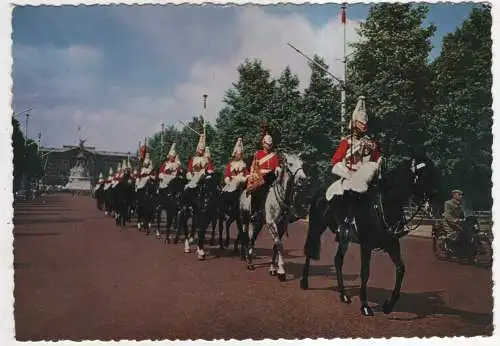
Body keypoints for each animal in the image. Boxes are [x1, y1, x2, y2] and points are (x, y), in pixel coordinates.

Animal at [239, 153, 308, 282]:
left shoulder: (282, 225)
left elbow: (276, 246)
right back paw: (248, 262)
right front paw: (281, 271)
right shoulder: (271, 223)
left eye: (302, 163)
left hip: (258, 223)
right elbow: (279, 245)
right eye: (290, 163)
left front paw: (272, 269)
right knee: (246, 238)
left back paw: (250, 260)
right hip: (245, 220)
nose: (303, 179)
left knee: (252, 239)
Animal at [300, 154, 438, 316]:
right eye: (423, 175)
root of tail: (320, 191)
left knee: (338, 260)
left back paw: (343, 294)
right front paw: (365, 306)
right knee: (309, 251)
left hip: (343, 238)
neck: (383, 204)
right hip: (317, 227)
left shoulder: (392, 244)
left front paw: (388, 306)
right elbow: (365, 273)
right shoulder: (366, 245)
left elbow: (400, 269)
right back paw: (304, 282)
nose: (435, 201)